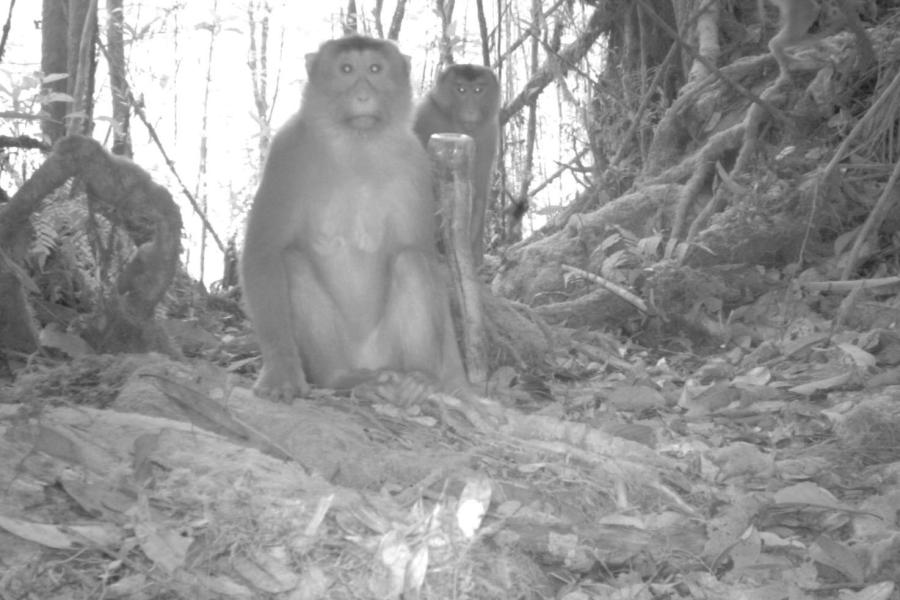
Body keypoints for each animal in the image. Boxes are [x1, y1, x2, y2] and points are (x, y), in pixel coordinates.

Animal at [240, 35, 467, 401]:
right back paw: (341, 378)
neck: (356, 144)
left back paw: (419, 378)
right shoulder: (287, 150)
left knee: (412, 261)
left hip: (389, 353)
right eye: (346, 70)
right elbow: (263, 252)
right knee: (291, 261)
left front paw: (453, 378)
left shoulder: (415, 161)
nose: (362, 95)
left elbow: (425, 256)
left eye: (375, 69)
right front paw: (280, 371)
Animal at [413, 64, 500, 267]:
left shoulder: (489, 132)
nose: (470, 110)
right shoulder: (424, 113)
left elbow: (479, 193)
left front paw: (475, 257)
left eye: (478, 90)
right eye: (461, 90)